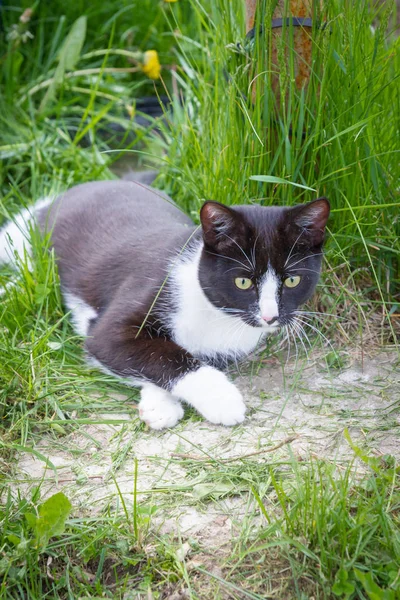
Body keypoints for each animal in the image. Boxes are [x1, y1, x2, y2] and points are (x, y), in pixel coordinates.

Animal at [0, 180, 330, 428]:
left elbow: (160, 353)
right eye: (243, 282)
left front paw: (158, 402)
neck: (213, 313)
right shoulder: (120, 316)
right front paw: (220, 398)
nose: (270, 317)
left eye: (292, 281)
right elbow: (159, 352)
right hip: (27, 236)